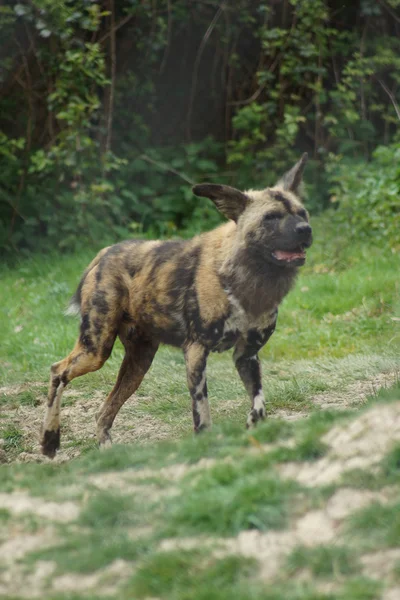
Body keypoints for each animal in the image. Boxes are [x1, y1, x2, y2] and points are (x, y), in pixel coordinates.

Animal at [43, 154, 312, 454]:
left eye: (302, 213)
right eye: (271, 218)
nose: (305, 230)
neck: (249, 281)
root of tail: (104, 253)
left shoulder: (247, 355)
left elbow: (258, 404)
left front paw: (255, 428)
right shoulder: (196, 350)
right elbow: (202, 412)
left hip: (138, 363)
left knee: (103, 412)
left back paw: (106, 450)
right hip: (96, 351)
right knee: (58, 371)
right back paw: (49, 441)